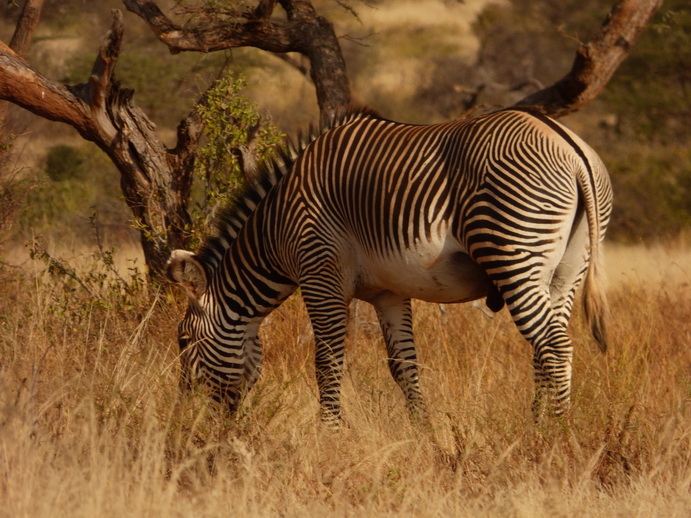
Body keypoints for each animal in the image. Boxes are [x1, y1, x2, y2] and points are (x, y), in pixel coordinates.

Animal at [168, 106, 612, 426]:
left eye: (184, 341)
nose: (184, 417)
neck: (276, 226)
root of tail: (568, 146)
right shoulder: (388, 292)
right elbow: (404, 367)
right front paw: (425, 434)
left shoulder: (320, 274)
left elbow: (328, 363)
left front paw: (330, 436)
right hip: (566, 271)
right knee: (545, 345)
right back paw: (537, 427)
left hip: (513, 251)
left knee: (554, 345)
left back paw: (558, 433)